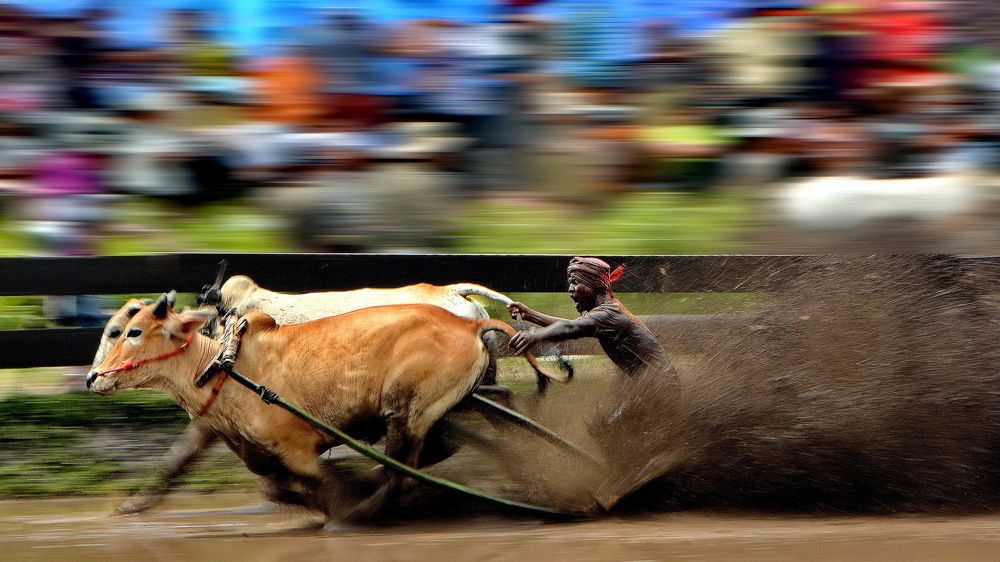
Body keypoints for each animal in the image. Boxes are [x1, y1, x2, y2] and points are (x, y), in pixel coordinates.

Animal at [97, 276, 569, 514]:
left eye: (123, 331)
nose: (93, 378)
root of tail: (457, 300)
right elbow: (186, 457)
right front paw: (135, 504)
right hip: (467, 392)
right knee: (495, 412)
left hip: (426, 404)